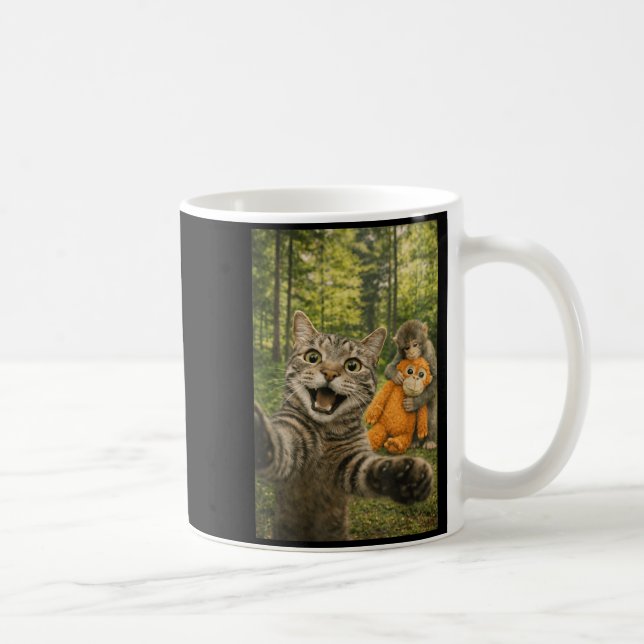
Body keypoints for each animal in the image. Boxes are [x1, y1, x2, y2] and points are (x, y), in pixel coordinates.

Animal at [383, 320, 438, 449]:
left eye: (415, 344)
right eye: (407, 347)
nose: (411, 352)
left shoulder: (430, 351)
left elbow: (435, 379)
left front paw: (414, 403)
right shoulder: (400, 355)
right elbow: (389, 367)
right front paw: (395, 375)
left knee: (430, 416)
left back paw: (430, 441)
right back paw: (414, 441)